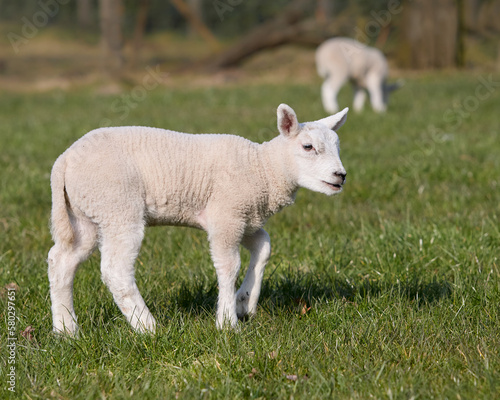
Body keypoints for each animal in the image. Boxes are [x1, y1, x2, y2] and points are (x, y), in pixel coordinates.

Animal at [48, 103, 350, 334]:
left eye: (337, 146)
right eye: (308, 146)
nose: (340, 176)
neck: (263, 168)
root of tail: (64, 160)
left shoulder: (245, 217)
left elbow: (264, 246)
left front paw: (245, 302)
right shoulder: (227, 215)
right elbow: (229, 266)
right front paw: (227, 323)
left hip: (86, 215)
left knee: (61, 261)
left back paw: (66, 330)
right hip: (117, 207)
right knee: (115, 270)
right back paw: (148, 327)